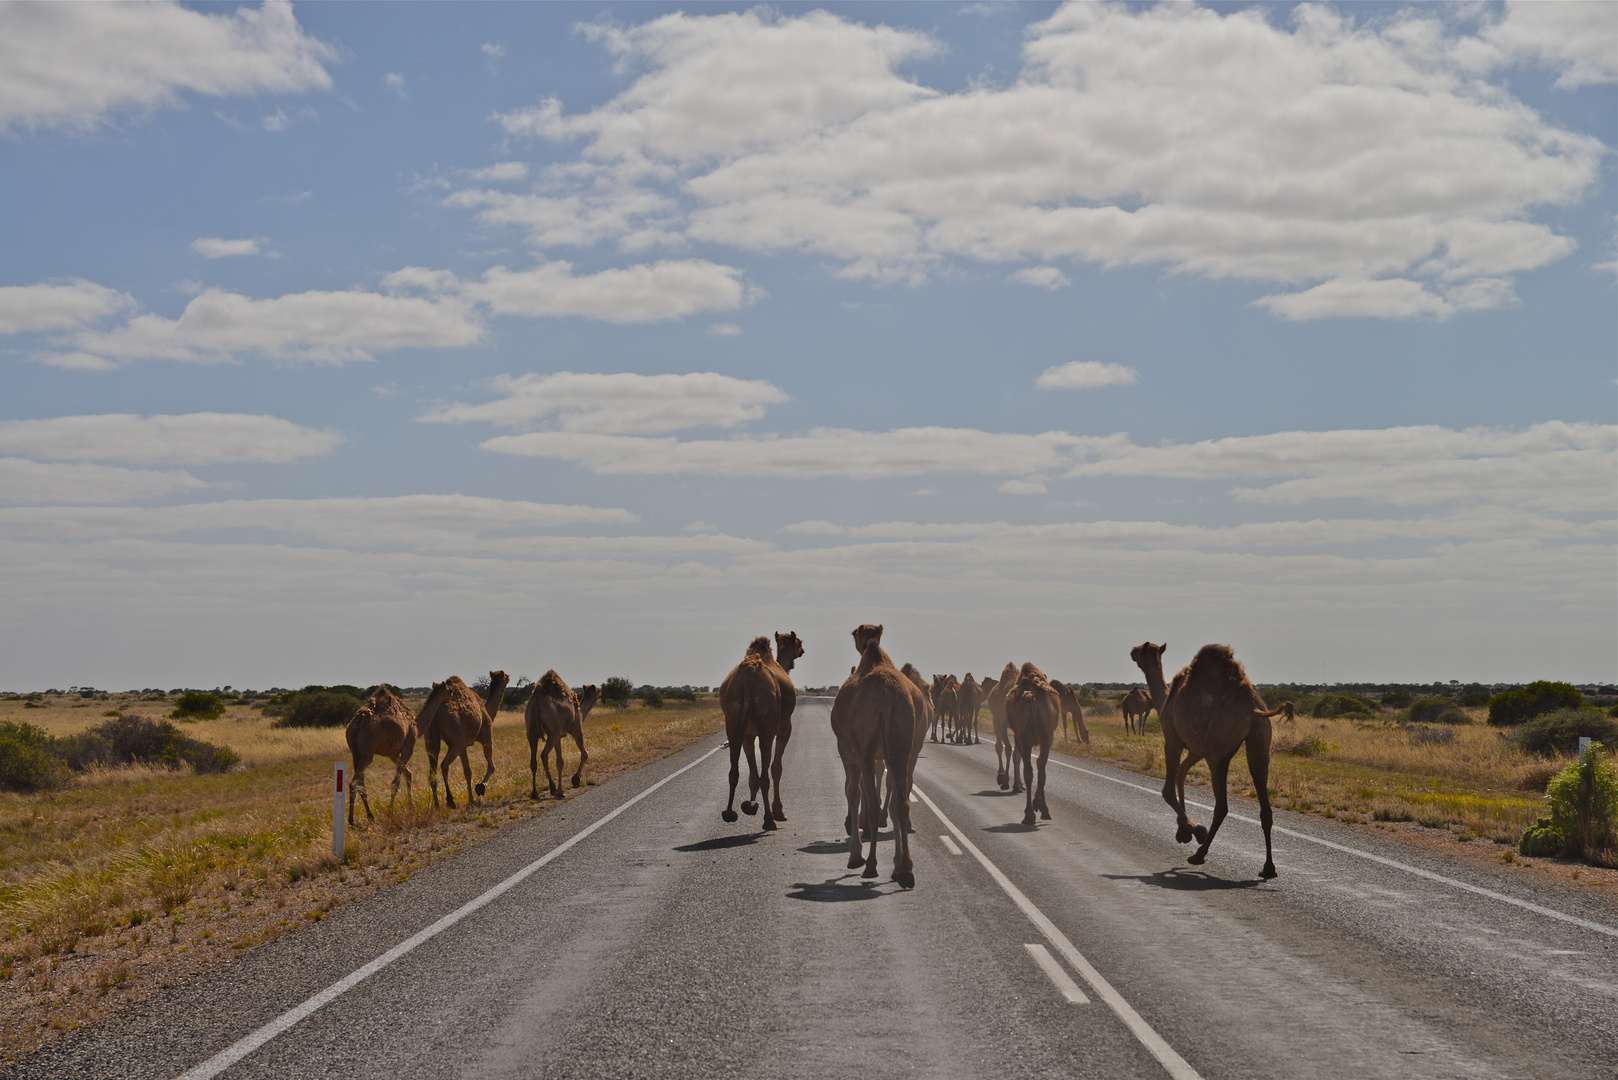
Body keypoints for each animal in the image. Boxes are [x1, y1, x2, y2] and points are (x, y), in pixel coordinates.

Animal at [344, 683, 417, 829]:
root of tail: (356, 725)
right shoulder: (408, 747)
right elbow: (396, 781)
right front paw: (391, 811)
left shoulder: (393, 753)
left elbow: (408, 774)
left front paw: (411, 806)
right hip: (367, 752)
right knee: (354, 783)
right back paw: (352, 820)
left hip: (356, 754)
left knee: (360, 782)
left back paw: (370, 815)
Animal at [417, 667, 504, 809]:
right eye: (505, 676)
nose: (507, 677)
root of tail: (437, 714)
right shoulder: (486, 735)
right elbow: (492, 766)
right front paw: (480, 787)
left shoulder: (464, 747)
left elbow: (467, 771)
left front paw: (471, 799)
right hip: (456, 742)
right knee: (444, 764)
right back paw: (450, 801)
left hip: (431, 740)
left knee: (432, 771)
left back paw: (437, 805)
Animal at [1009, 660, 1061, 829]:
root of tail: (1031, 698)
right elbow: (1040, 766)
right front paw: (1038, 803)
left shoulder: (1020, 737)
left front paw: (1037, 803)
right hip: (1045, 736)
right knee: (1038, 769)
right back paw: (1039, 811)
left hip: (1026, 737)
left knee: (1030, 770)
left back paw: (1030, 814)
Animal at [1132, 641, 1294, 880]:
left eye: (1141, 650)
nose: (1132, 651)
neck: (1166, 700)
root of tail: (1253, 709)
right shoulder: (1196, 750)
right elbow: (1181, 775)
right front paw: (1183, 831)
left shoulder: (1173, 740)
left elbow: (1168, 789)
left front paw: (1195, 830)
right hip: (1260, 744)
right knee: (1264, 804)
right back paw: (1268, 868)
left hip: (1217, 751)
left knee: (1222, 805)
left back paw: (1199, 854)